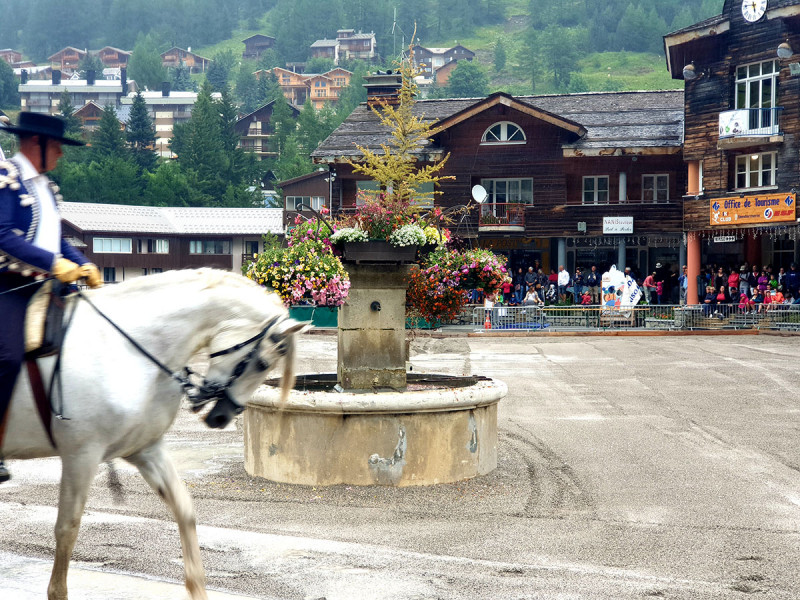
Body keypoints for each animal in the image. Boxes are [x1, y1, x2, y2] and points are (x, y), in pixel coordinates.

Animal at [0, 270, 306, 596]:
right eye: (262, 363)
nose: (222, 417)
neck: (124, 349)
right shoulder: (81, 455)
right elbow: (67, 529)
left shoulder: (145, 450)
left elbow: (185, 510)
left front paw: (196, 588)